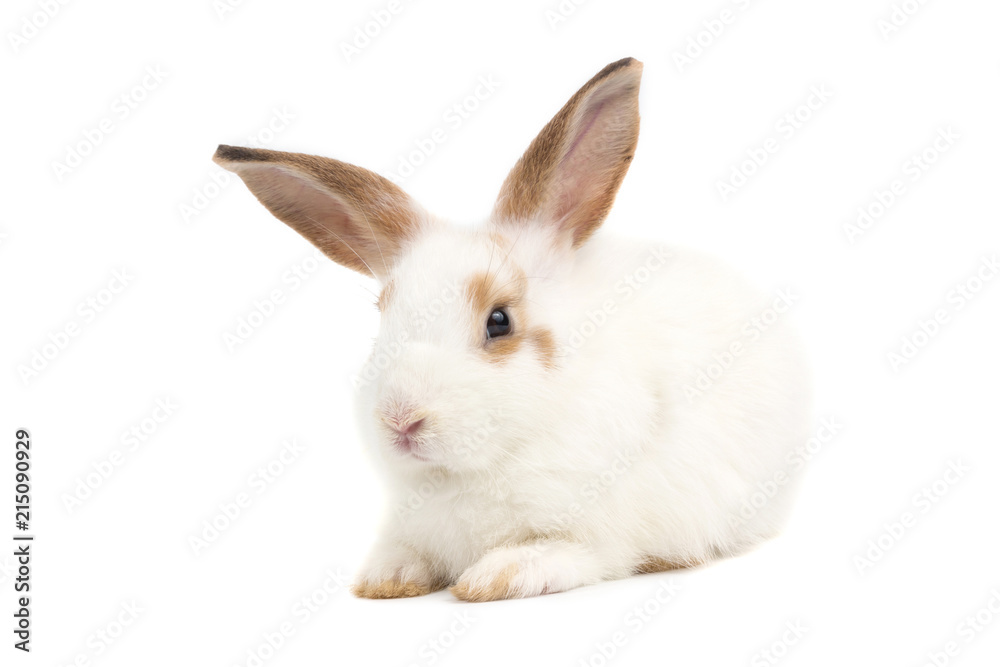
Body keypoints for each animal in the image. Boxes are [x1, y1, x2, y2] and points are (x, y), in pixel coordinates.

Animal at [213, 56, 812, 600]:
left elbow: (569, 552)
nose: (401, 421)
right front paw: (386, 579)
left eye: (498, 321)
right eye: (384, 313)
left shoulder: (603, 533)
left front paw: (495, 577)